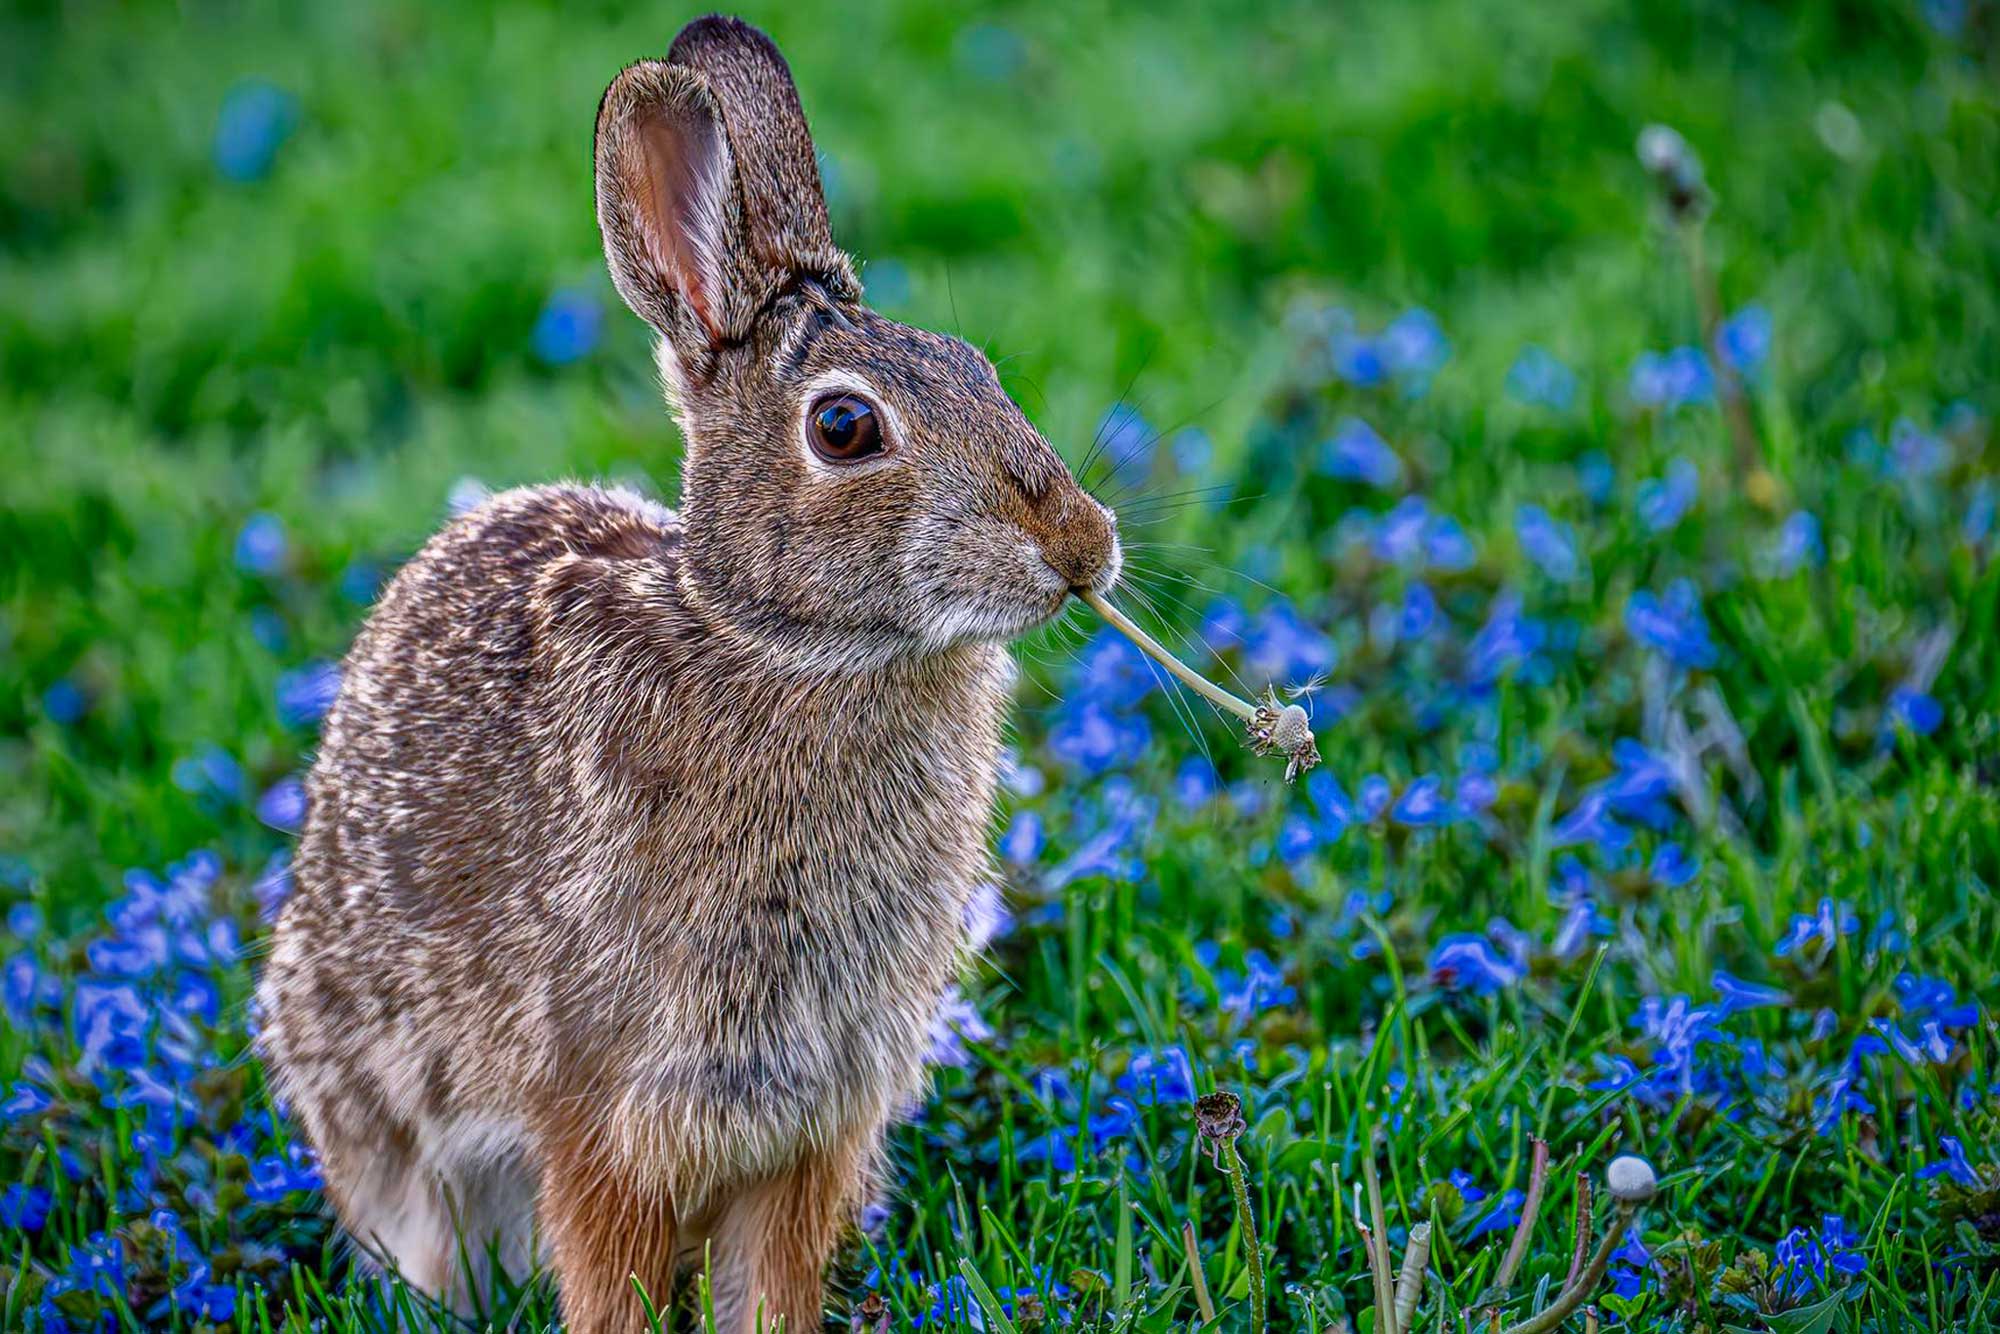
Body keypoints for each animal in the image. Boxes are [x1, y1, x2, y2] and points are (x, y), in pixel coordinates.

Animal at [254, 13, 1120, 1334]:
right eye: (845, 429)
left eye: (978, 366)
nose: (1082, 549)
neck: (781, 642)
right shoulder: (604, 1106)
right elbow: (607, 1268)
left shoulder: (815, 1119)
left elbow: (775, 1277)